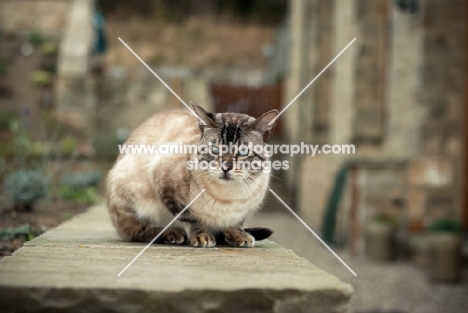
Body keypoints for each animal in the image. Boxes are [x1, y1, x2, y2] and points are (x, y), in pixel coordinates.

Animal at [106, 101, 278, 247]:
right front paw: (202, 237)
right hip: (131, 188)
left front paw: (238, 236)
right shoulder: (164, 183)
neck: (229, 198)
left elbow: (236, 223)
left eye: (243, 152)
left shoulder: (243, 212)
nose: (226, 167)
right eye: (215, 149)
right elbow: (190, 218)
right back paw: (173, 234)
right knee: (136, 231)